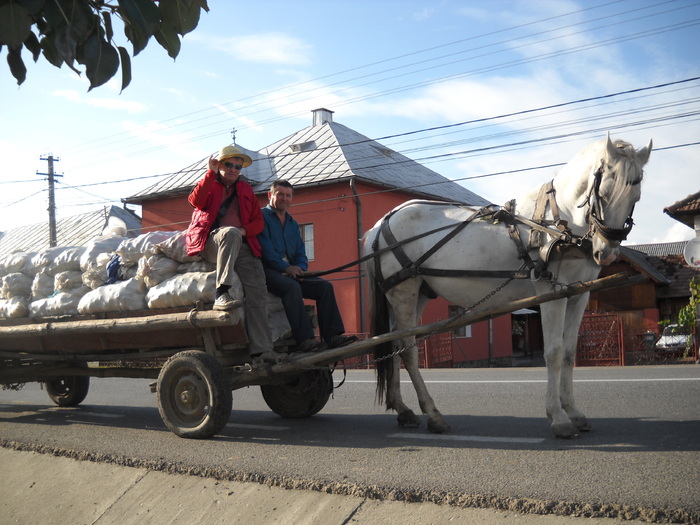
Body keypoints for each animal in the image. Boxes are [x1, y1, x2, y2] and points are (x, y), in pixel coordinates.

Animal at [364, 134, 652, 438]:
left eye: (635, 197)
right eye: (604, 193)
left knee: (395, 343)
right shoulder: (552, 292)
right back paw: (433, 414)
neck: (558, 222)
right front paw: (558, 417)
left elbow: (569, 353)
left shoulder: (578, 294)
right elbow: (553, 353)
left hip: (416, 292)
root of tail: (379, 226)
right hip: (403, 291)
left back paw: (403, 410)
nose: (606, 252)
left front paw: (574, 412)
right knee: (408, 349)